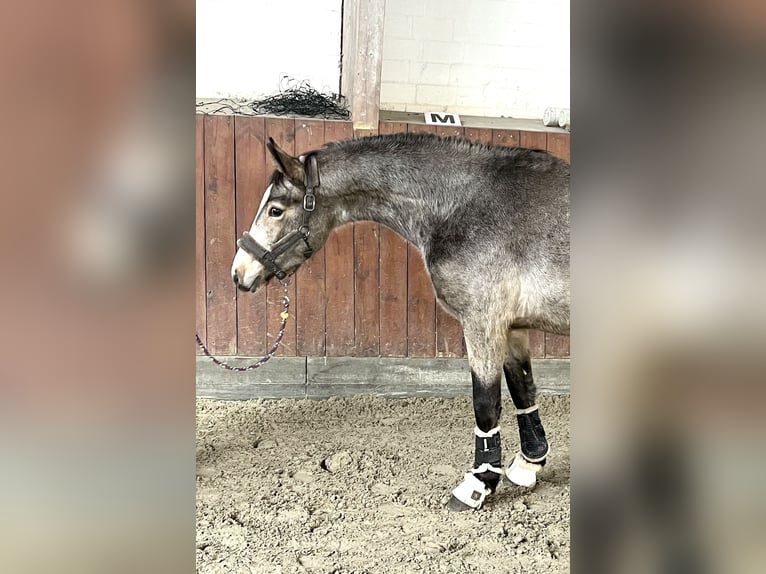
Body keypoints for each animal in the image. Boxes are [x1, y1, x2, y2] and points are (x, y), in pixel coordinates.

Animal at [230, 132, 568, 512]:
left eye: (275, 210)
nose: (239, 272)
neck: (462, 205)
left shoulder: (483, 321)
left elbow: (485, 403)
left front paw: (478, 484)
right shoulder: (512, 328)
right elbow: (523, 390)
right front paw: (529, 464)